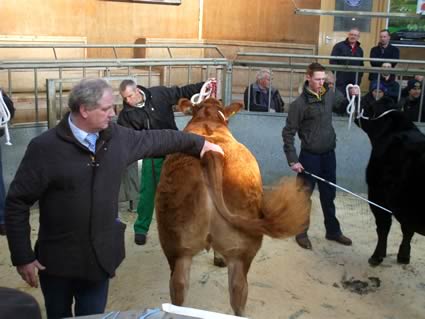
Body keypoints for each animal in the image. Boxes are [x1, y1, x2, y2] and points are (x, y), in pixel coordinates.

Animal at [354, 97, 424, 268]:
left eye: (368, 104)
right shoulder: (406, 207)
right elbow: (407, 230)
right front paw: (404, 256)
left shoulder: (377, 195)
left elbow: (383, 227)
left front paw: (377, 256)